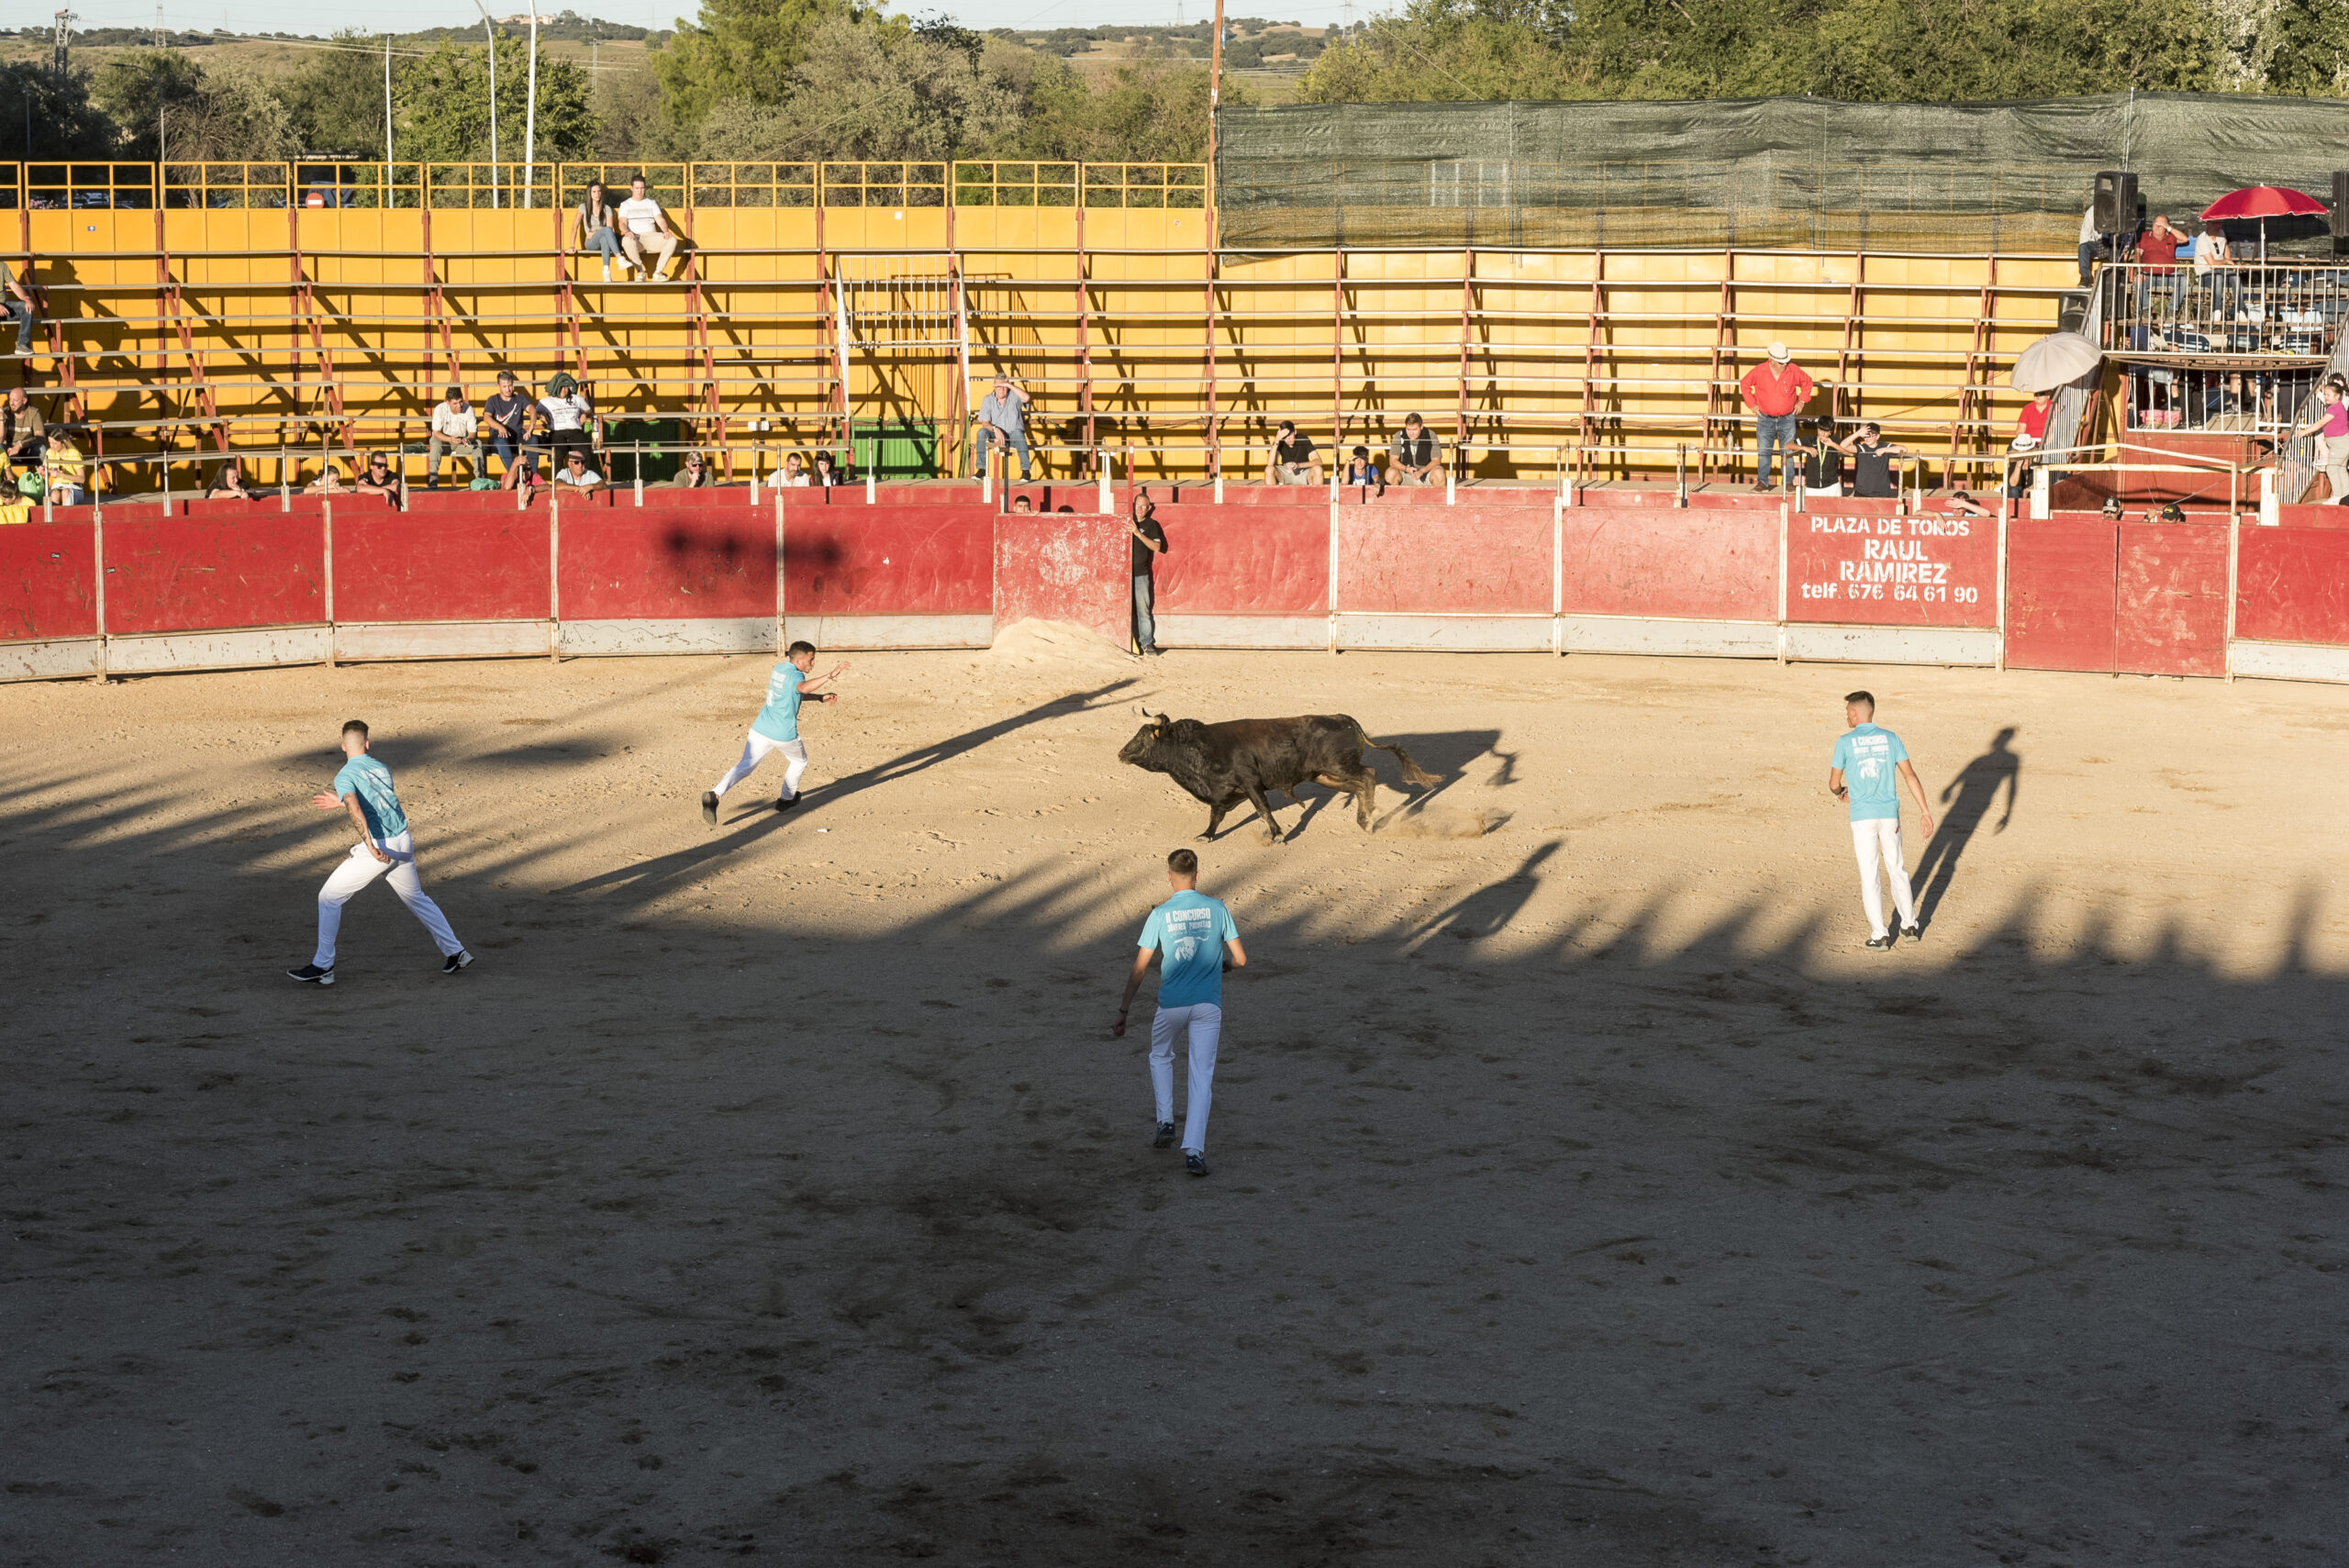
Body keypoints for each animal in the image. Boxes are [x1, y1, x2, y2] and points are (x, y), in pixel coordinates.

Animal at [1113, 708, 1437, 845]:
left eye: (1142, 738)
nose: (1121, 753)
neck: (1199, 748)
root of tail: (1345, 719)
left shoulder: (1250, 783)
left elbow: (1262, 809)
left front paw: (1278, 834)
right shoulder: (1222, 793)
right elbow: (1216, 816)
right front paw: (1206, 835)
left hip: (1338, 767)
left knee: (1369, 774)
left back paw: (1369, 817)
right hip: (1324, 776)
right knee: (1359, 785)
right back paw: (1364, 819)